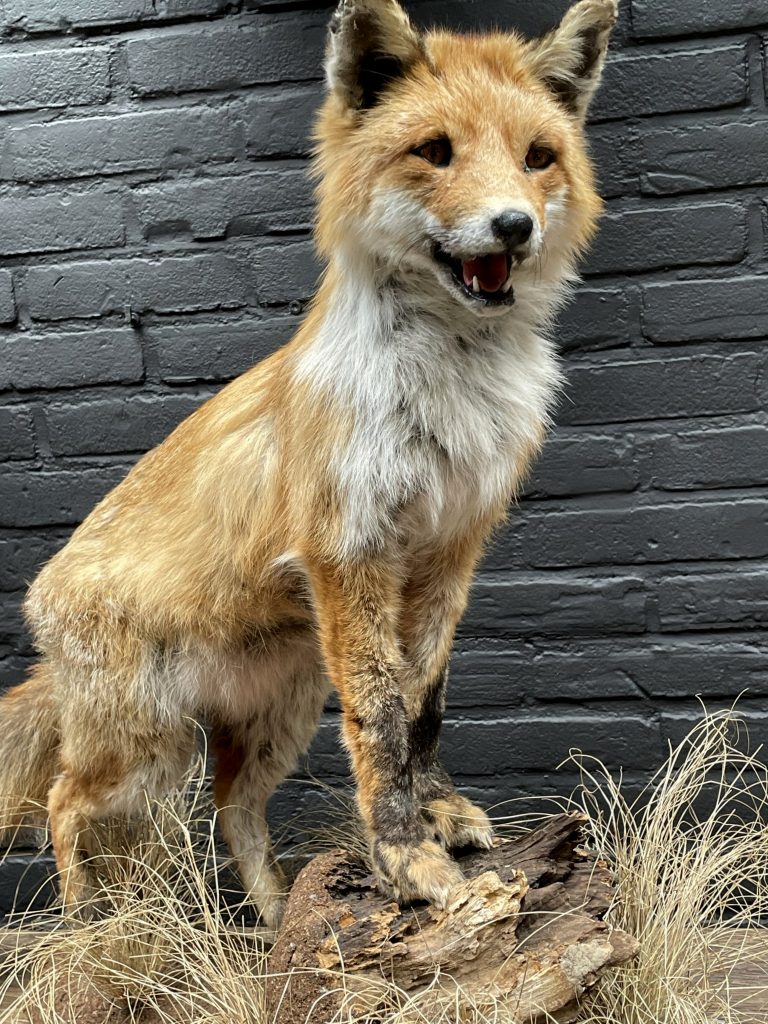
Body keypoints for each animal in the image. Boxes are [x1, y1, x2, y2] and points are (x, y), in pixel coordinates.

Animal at [0, 0, 618, 929]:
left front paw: (437, 815)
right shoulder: (350, 550)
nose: (515, 225)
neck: (450, 394)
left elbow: (422, 706)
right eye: (435, 151)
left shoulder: (450, 550)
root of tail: (40, 607)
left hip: (273, 719)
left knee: (235, 811)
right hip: (145, 746)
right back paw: (89, 926)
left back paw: (271, 920)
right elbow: (380, 722)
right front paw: (407, 861)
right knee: (65, 803)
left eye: (538, 157)